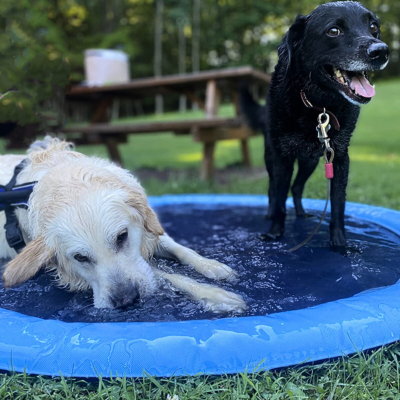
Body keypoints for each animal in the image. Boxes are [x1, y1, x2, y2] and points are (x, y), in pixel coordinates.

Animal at [0, 138, 247, 312]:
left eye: (122, 236)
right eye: (80, 257)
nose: (126, 299)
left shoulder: (148, 230)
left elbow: (181, 249)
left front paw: (213, 267)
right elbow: (167, 275)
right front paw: (216, 295)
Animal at [242, 0, 390, 247]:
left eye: (373, 27)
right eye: (334, 31)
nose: (381, 51)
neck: (319, 106)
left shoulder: (339, 157)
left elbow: (338, 204)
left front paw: (340, 243)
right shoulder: (282, 157)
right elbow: (279, 197)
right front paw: (275, 233)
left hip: (310, 161)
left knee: (297, 186)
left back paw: (302, 213)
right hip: (271, 156)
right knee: (273, 189)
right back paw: (271, 215)